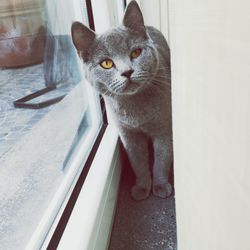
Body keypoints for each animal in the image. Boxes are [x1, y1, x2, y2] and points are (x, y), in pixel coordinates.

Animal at [70, 0, 172, 199]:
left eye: (136, 53)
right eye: (106, 63)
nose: (127, 72)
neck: (136, 110)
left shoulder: (164, 128)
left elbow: (162, 159)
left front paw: (160, 186)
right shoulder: (128, 134)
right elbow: (138, 162)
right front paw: (142, 187)